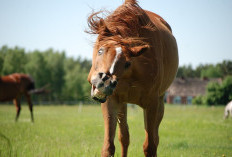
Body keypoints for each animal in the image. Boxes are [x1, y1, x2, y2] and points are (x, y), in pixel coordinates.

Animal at [86, 0, 179, 156]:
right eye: (100, 51)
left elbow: (150, 146)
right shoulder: (111, 101)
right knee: (124, 138)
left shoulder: (152, 104)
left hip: (160, 103)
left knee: (155, 138)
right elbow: (109, 146)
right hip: (122, 104)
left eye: (127, 63)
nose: (104, 82)